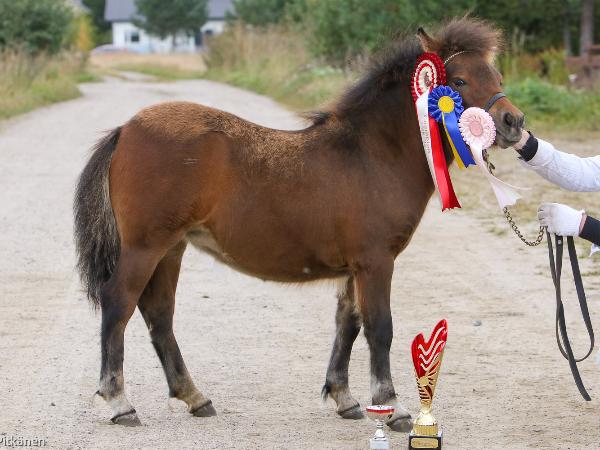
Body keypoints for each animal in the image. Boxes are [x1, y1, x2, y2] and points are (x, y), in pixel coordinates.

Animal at [74, 18, 524, 429]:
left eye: (497, 76)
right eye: (459, 80)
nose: (512, 123)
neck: (372, 155)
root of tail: (126, 130)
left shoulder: (354, 268)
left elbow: (348, 324)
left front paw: (345, 399)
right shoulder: (376, 262)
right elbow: (380, 328)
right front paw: (392, 407)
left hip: (172, 248)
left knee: (159, 314)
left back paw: (194, 397)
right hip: (146, 247)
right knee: (119, 304)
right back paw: (120, 403)